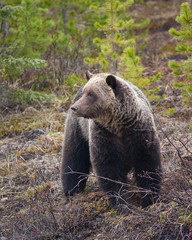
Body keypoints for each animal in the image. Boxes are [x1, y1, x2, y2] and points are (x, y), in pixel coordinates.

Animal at [61, 71, 162, 208]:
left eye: (91, 94)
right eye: (85, 93)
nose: (74, 108)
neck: (119, 125)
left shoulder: (139, 133)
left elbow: (148, 162)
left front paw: (149, 199)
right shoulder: (104, 136)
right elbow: (110, 168)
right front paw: (122, 202)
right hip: (78, 130)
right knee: (74, 159)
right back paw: (72, 191)